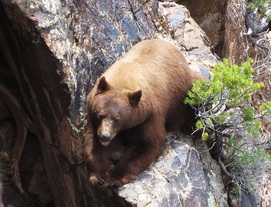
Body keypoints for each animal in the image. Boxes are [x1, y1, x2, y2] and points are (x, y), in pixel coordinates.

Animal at [84, 38, 205, 188]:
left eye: (117, 119)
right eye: (100, 115)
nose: (105, 136)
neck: (124, 79)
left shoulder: (149, 116)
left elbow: (146, 144)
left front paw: (114, 178)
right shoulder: (92, 113)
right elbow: (93, 144)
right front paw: (98, 176)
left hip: (188, 94)